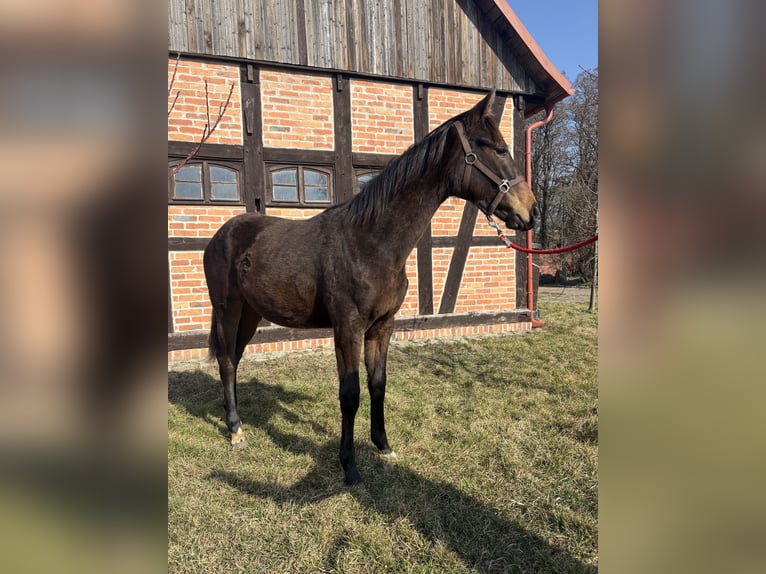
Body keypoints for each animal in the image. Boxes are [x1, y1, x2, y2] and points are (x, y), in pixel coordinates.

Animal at [203, 91, 539, 485]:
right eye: (497, 148)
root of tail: (223, 233)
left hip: (251, 315)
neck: (370, 241)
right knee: (226, 362)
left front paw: (383, 444)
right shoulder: (348, 328)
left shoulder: (382, 326)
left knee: (235, 360)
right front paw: (349, 466)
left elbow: (378, 384)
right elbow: (350, 394)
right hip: (228, 310)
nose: (531, 211)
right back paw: (234, 429)